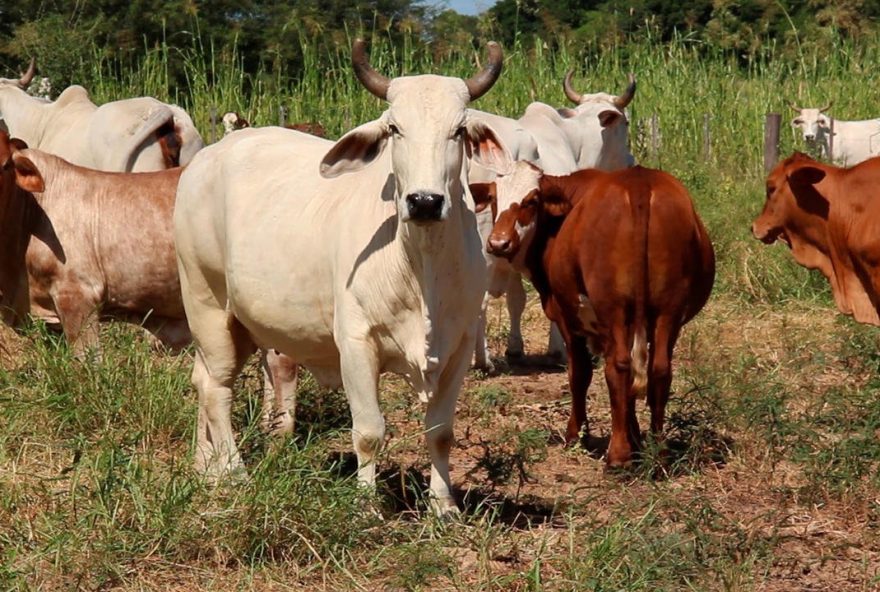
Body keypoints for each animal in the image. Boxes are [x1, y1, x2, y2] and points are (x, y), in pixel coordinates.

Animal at [174, 39, 512, 516]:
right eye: (394, 128)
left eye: (459, 131)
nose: (425, 201)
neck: (420, 267)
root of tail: (207, 158)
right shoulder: (355, 342)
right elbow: (369, 431)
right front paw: (367, 504)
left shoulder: (459, 345)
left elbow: (440, 432)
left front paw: (444, 506)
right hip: (205, 302)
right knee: (216, 388)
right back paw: (235, 473)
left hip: (235, 322)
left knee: (202, 379)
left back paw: (207, 470)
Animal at [470, 73, 636, 370]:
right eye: (626, 122)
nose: (630, 161)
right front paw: (559, 350)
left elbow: (517, 298)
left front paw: (515, 349)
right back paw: (481, 360)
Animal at [484, 162, 720, 468]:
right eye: (493, 198)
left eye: (531, 201)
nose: (498, 243)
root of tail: (639, 183)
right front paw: (635, 439)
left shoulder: (571, 319)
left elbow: (580, 374)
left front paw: (577, 434)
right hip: (667, 313)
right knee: (658, 369)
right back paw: (658, 454)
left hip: (615, 310)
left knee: (618, 367)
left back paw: (617, 456)